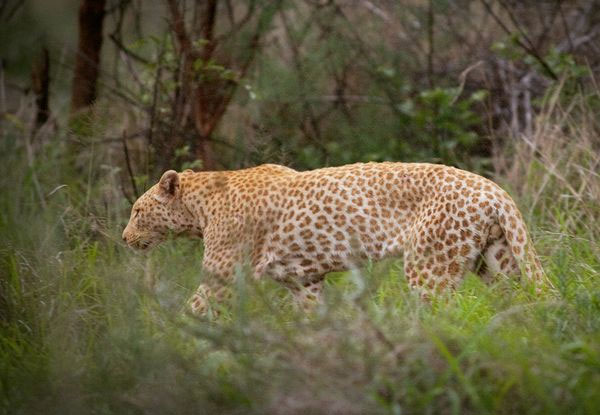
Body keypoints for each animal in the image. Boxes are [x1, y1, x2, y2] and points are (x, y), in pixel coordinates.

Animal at [122, 162, 548, 316]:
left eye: (138, 211)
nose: (125, 238)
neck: (199, 206)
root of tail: (495, 190)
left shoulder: (222, 276)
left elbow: (194, 308)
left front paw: (168, 341)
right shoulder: (304, 281)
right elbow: (311, 315)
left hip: (430, 268)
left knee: (443, 313)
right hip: (498, 260)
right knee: (520, 297)